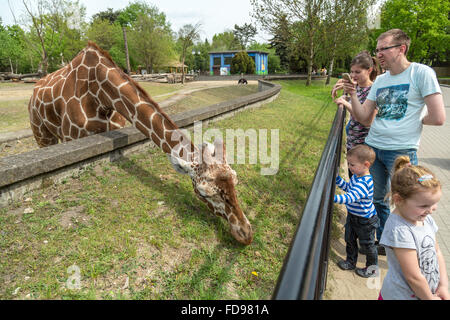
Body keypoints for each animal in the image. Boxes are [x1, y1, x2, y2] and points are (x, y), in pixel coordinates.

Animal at [28, 41, 253, 244]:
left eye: (235, 180)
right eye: (204, 193)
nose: (245, 233)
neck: (101, 94)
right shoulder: (73, 136)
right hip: (43, 136)